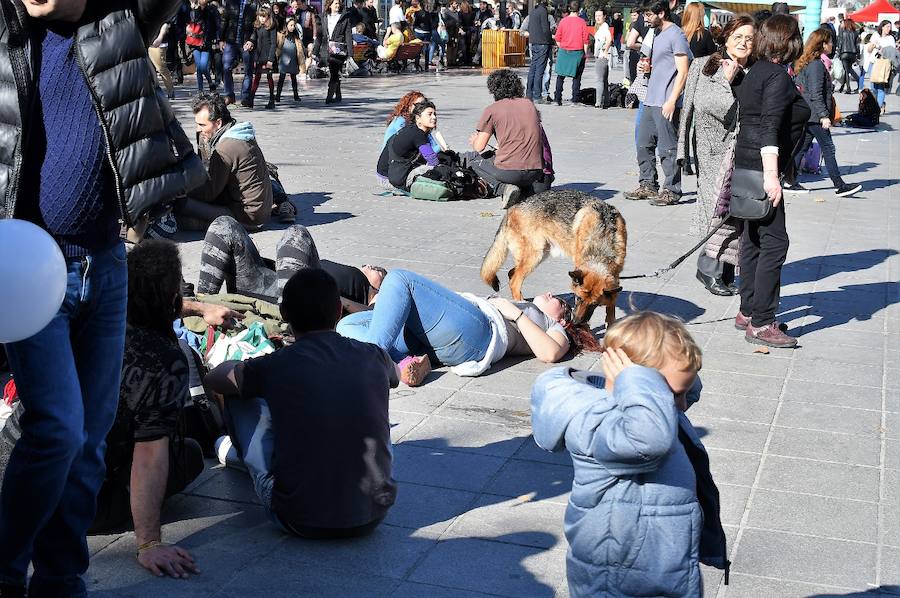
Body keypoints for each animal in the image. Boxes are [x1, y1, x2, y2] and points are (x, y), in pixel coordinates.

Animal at [478, 191, 624, 328]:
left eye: (594, 304)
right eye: (578, 298)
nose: (576, 322)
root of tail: (513, 208)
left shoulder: (616, 274)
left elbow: (612, 303)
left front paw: (611, 324)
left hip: (540, 254)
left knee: (511, 273)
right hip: (535, 256)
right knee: (514, 281)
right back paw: (523, 304)